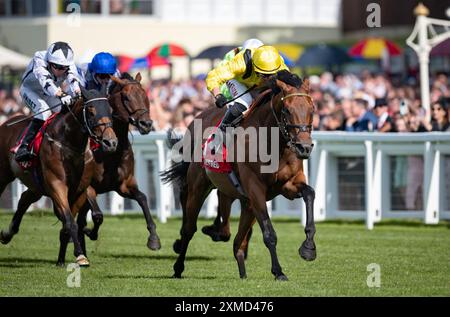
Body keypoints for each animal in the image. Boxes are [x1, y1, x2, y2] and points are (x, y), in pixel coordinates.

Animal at [0, 85, 118, 266]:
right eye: (91, 111)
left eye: (110, 110)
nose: (110, 142)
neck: (69, 144)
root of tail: (6, 123)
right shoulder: (56, 185)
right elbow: (69, 221)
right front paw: (80, 255)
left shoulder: (80, 189)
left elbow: (77, 221)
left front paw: (63, 258)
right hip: (4, 175)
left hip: (36, 185)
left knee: (25, 199)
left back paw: (8, 234)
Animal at [163, 70, 316, 278]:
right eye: (286, 110)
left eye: (312, 109)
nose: (304, 147)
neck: (275, 145)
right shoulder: (255, 189)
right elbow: (269, 233)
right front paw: (278, 272)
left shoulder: (289, 185)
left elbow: (309, 193)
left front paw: (308, 248)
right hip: (199, 186)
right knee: (189, 229)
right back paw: (178, 266)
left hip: (236, 196)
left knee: (236, 240)